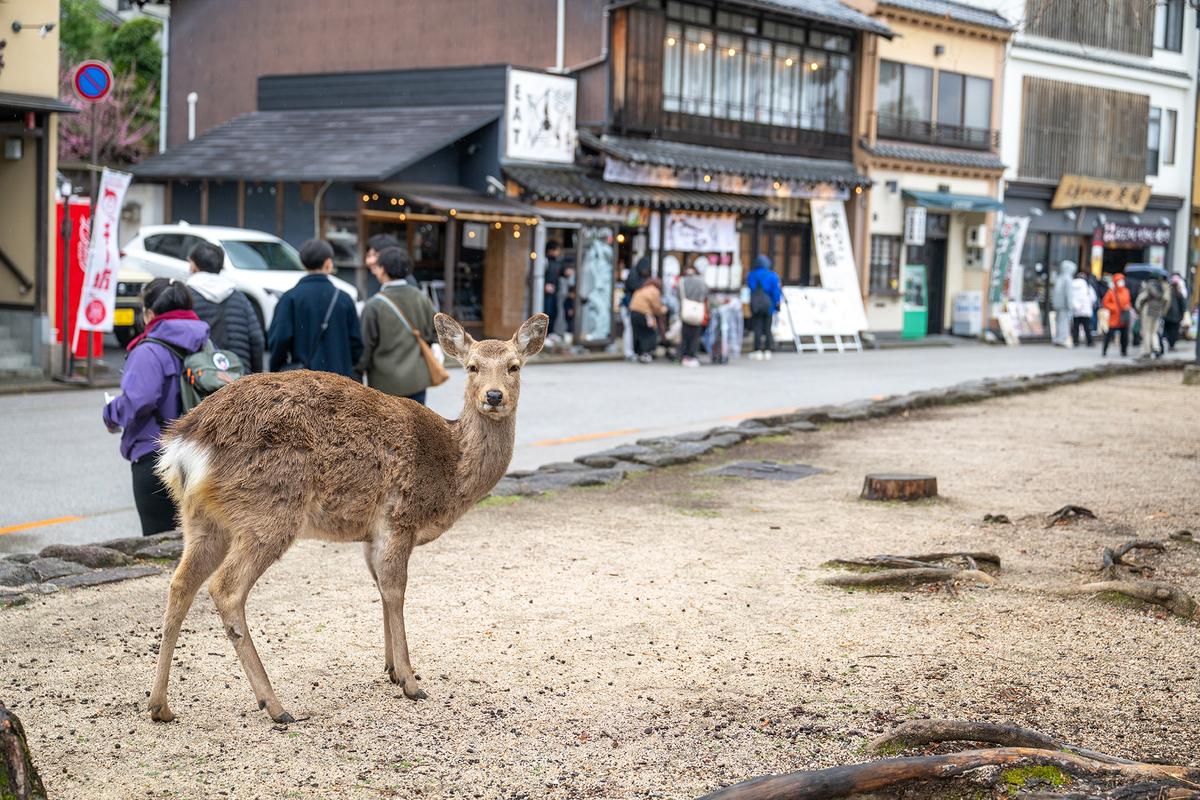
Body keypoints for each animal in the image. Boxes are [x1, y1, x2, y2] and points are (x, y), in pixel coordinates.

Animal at [147, 313, 547, 724]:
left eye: (514, 366)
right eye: (472, 367)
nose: (494, 396)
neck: (450, 470)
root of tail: (185, 445)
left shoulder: (370, 536)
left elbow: (380, 589)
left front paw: (390, 669)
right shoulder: (399, 518)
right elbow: (396, 590)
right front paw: (410, 681)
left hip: (201, 518)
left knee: (180, 584)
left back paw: (160, 705)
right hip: (270, 508)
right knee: (225, 588)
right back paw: (275, 706)